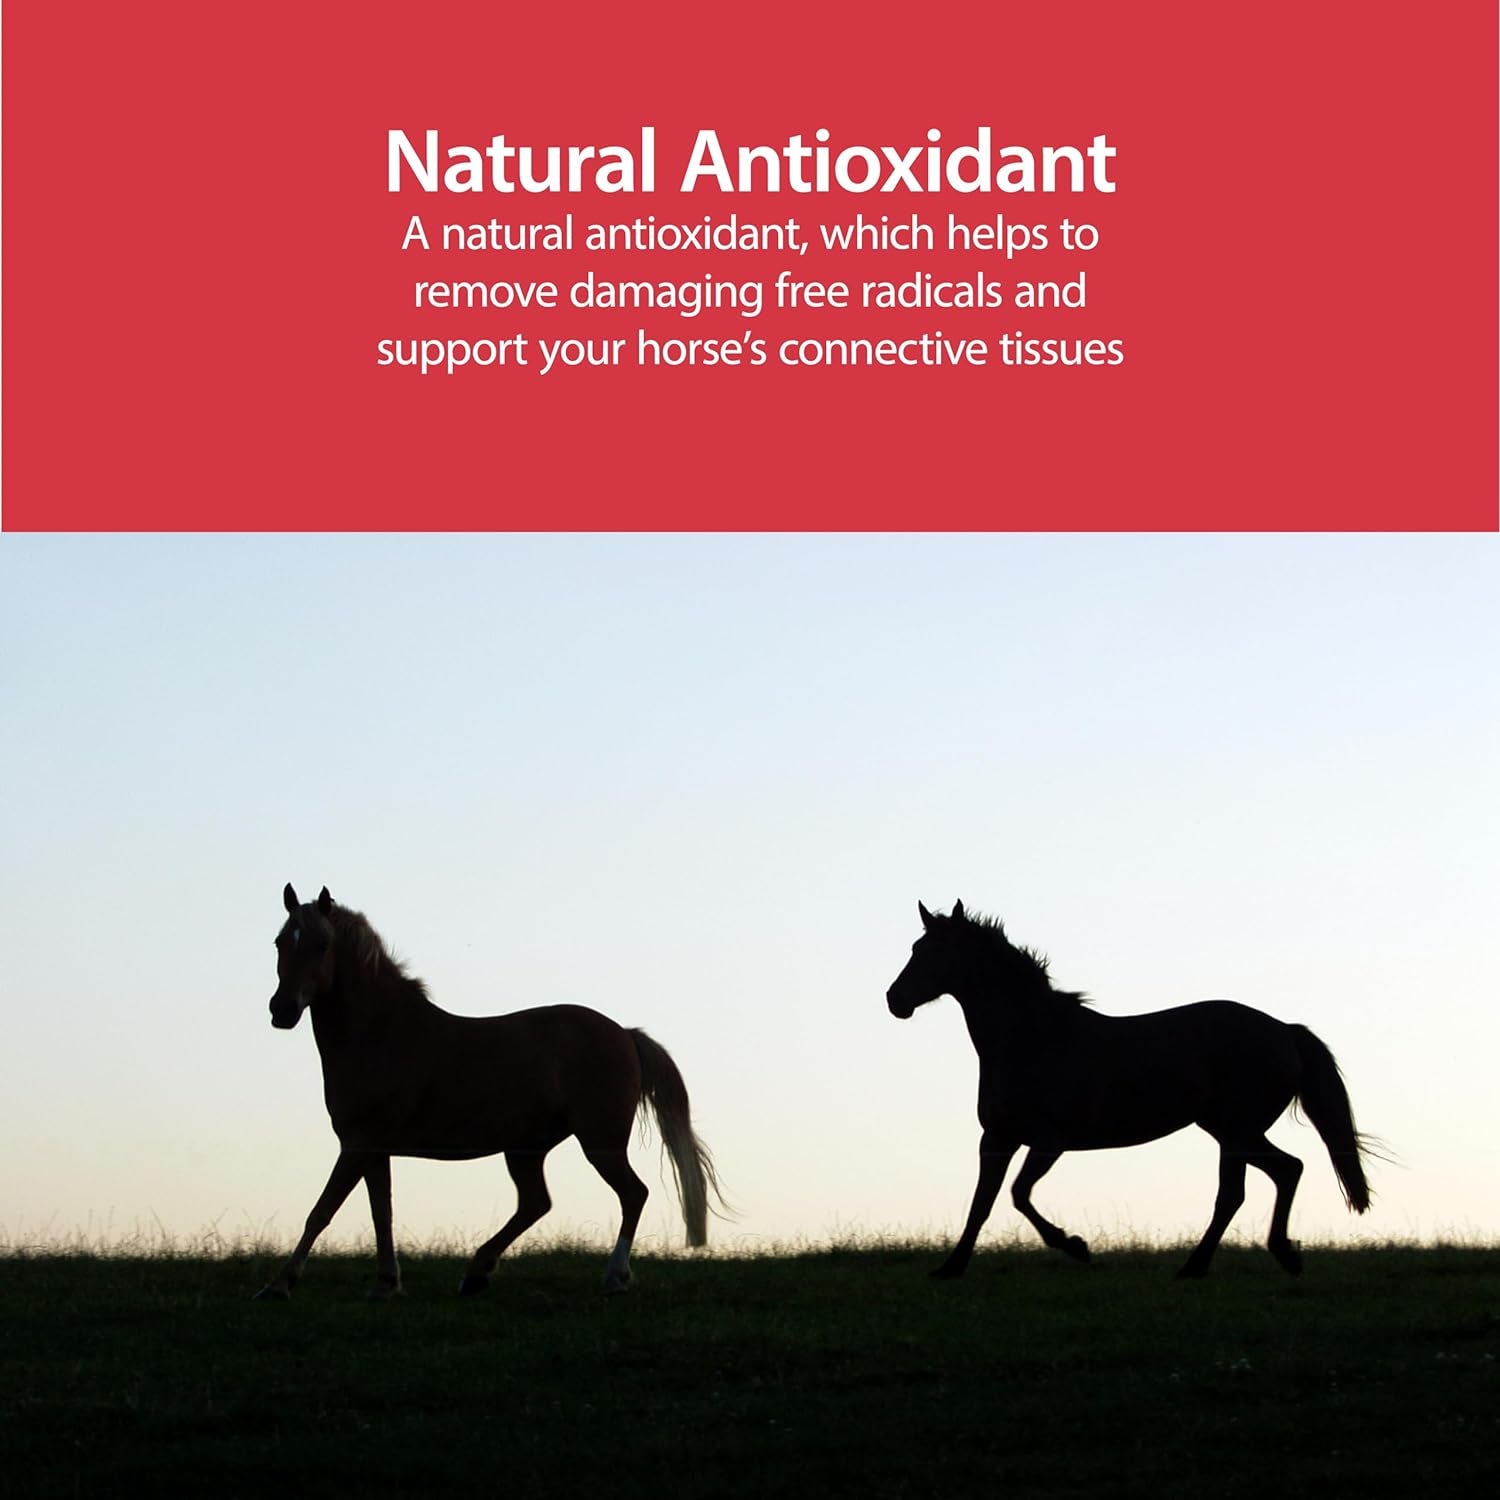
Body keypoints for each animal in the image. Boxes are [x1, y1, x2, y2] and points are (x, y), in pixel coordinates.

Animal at [256, 884, 721, 1300]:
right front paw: (386, 1284)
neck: (381, 1033)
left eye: (321, 944)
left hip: (599, 1142)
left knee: (632, 1194)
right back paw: (476, 1273)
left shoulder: (357, 1143)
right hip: (526, 1149)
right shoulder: (373, 1148)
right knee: (536, 1203)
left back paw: (615, 1277)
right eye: (280, 942)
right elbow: (381, 1213)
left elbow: (321, 1212)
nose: (282, 1010)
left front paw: (279, 1285)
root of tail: (625, 1034)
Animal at [885, 901, 1373, 1280]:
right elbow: (981, 1203)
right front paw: (950, 1267)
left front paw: (1075, 1245)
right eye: (916, 949)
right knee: (1264, 1180)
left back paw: (1239, 1261)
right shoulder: (997, 1138)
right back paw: (1229, 1262)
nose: (895, 1000)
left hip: (1237, 1130)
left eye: (938, 952)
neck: (1034, 1038)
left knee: (1266, 1179)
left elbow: (1019, 1194)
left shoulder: (1048, 1141)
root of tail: (1285, 1030)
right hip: (1230, 1131)